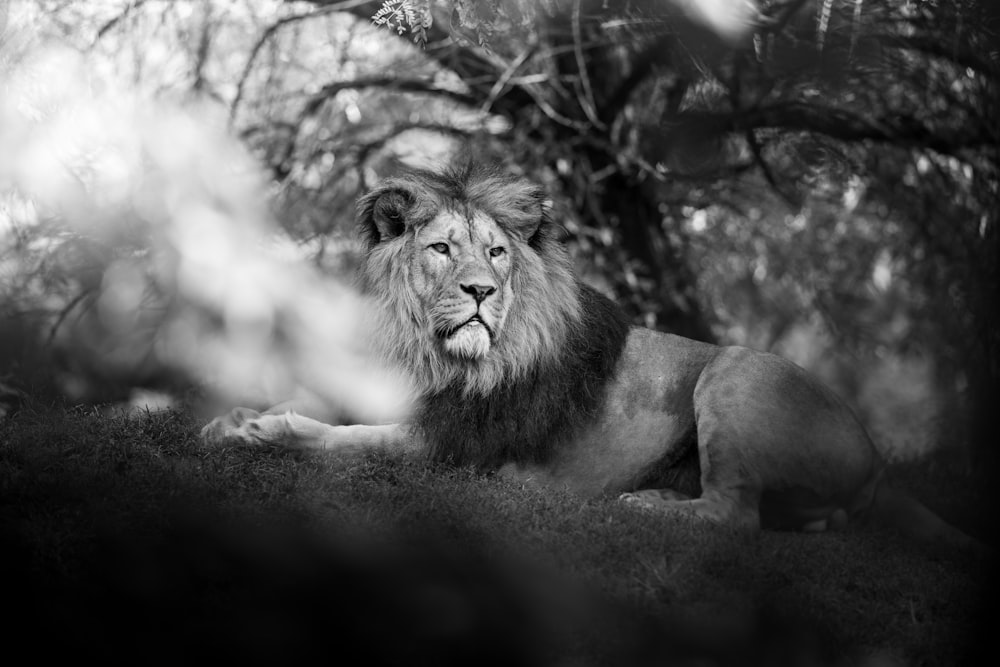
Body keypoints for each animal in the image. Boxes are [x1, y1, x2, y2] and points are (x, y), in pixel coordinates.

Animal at [203, 160, 984, 552]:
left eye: (496, 253)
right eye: (442, 249)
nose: (483, 291)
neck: (428, 350)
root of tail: (877, 458)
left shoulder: (448, 447)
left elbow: (345, 440)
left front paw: (267, 430)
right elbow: (317, 407)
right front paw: (231, 418)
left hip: (738, 369)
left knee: (734, 515)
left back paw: (645, 506)